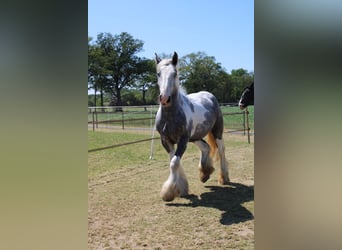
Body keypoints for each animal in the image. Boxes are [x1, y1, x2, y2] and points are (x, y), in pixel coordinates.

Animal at [155, 52, 230, 201]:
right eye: (158, 73)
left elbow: (174, 163)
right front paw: (181, 189)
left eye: (175, 73)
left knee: (221, 150)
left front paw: (168, 193)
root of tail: (209, 95)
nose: (165, 99)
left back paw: (223, 178)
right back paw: (205, 173)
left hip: (217, 131)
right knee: (206, 147)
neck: (171, 116)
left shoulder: (183, 140)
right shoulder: (166, 140)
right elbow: (173, 161)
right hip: (195, 137)